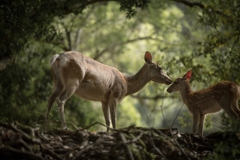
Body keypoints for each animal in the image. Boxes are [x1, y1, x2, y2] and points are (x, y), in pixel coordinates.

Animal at [44, 51, 172, 131]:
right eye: (160, 68)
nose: (170, 80)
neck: (126, 85)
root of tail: (58, 57)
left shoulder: (104, 99)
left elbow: (107, 121)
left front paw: (108, 133)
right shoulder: (114, 95)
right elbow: (114, 119)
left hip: (57, 81)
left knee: (50, 100)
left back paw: (43, 125)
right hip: (74, 80)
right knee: (60, 100)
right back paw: (64, 127)